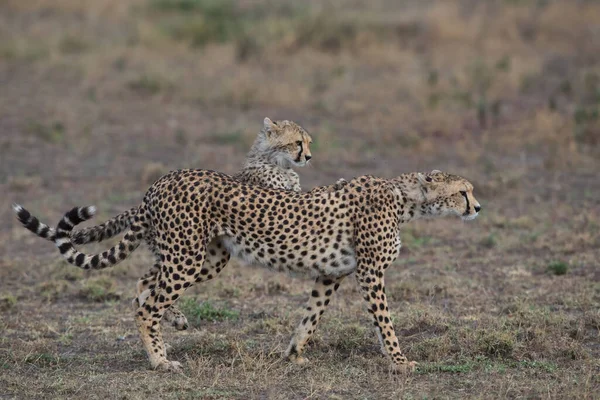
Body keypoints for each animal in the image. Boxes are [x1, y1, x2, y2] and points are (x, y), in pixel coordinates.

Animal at [27, 168, 482, 372]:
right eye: (463, 192)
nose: (478, 207)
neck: (405, 199)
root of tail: (161, 182)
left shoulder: (331, 274)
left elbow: (311, 315)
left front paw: (294, 353)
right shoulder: (370, 274)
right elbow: (385, 323)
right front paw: (401, 361)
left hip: (205, 257)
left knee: (144, 285)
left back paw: (172, 325)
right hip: (187, 257)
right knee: (147, 303)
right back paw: (159, 360)